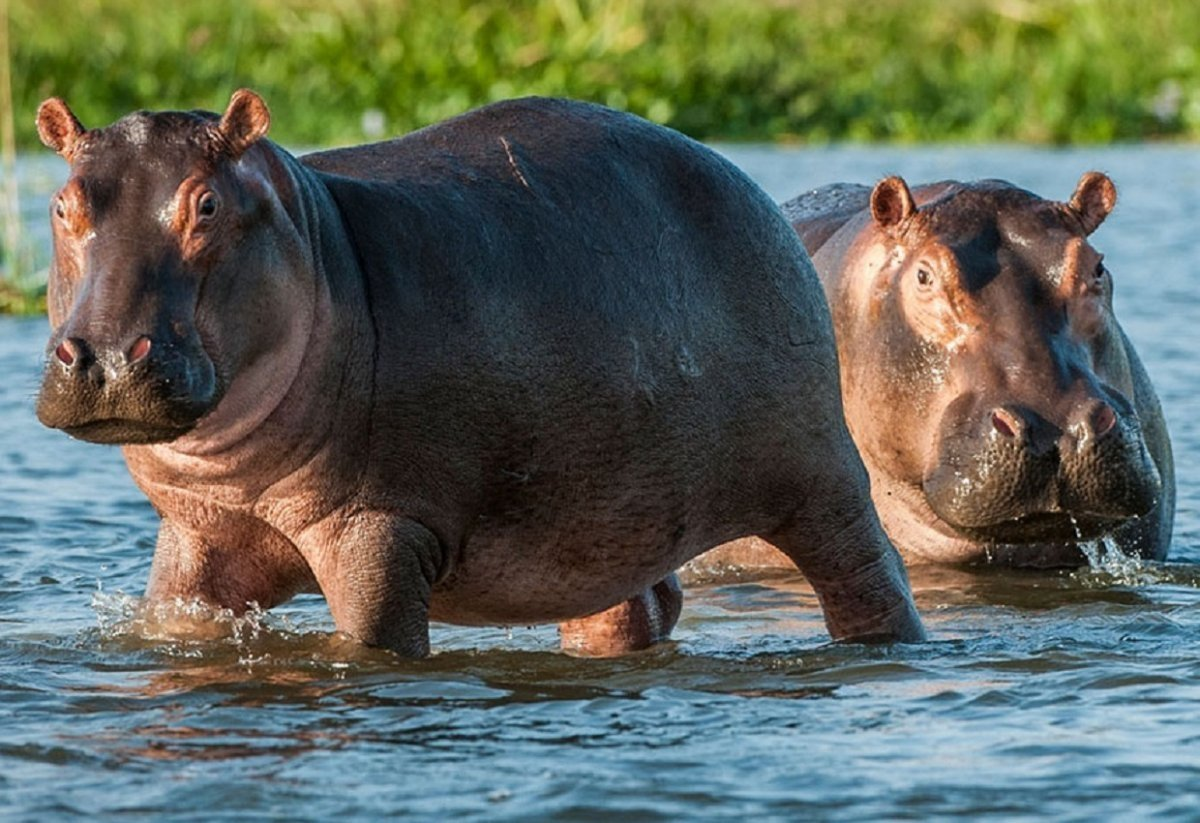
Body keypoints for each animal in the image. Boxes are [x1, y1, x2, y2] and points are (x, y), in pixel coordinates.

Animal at [32, 89, 921, 657]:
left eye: (207, 203)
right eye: (62, 204)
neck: (313, 238)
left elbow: (375, 644)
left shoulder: (379, 527)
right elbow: (178, 623)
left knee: (869, 575)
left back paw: (883, 651)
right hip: (603, 518)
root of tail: (748, 184)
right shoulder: (197, 533)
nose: (104, 356)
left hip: (821, 479)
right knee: (631, 608)